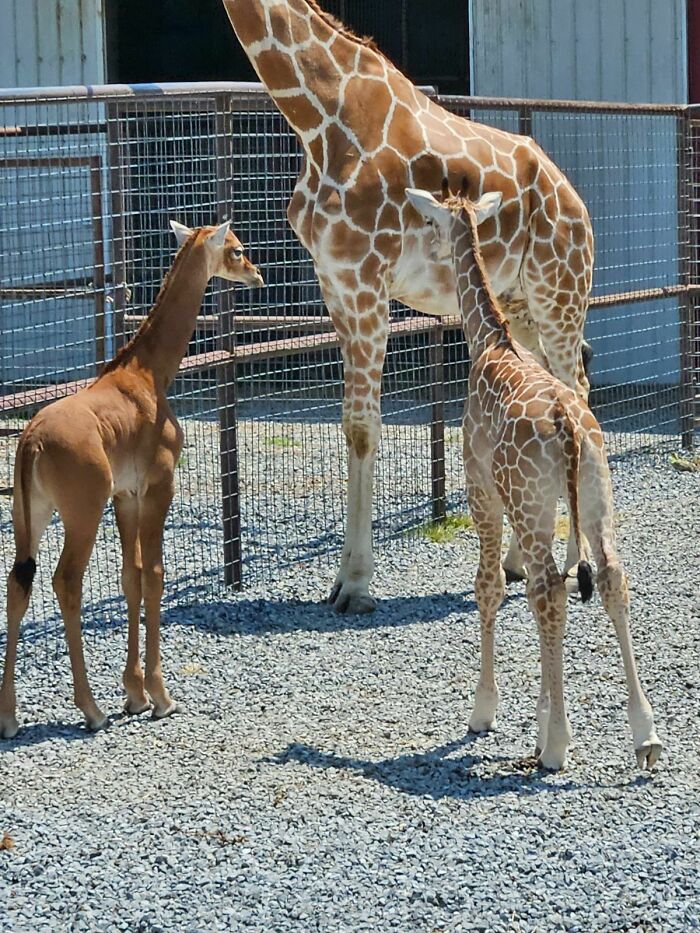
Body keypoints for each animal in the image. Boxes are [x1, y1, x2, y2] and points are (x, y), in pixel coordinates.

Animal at [0, 222, 264, 738]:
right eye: (237, 249)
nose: (258, 275)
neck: (149, 372)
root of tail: (32, 442)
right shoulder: (159, 486)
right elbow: (156, 575)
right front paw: (160, 697)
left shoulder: (126, 495)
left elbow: (131, 577)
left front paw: (135, 693)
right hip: (81, 511)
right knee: (66, 582)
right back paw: (90, 709)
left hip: (31, 512)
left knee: (18, 583)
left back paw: (9, 717)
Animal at [221, 0, 594, 612]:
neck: (317, 114)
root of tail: (573, 196)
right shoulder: (336, 283)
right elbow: (349, 423)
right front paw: (340, 580)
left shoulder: (366, 281)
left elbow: (365, 427)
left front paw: (355, 585)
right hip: (518, 304)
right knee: (546, 388)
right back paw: (519, 560)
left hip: (559, 288)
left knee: (578, 390)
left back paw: (568, 563)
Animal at [405, 183, 661, 770]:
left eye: (429, 221)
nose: (430, 252)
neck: (490, 340)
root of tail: (567, 424)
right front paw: (539, 721)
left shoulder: (480, 487)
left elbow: (491, 585)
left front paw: (487, 712)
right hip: (592, 493)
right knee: (609, 577)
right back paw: (645, 735)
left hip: (527, 500)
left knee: (548, 589)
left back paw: (560, 746)